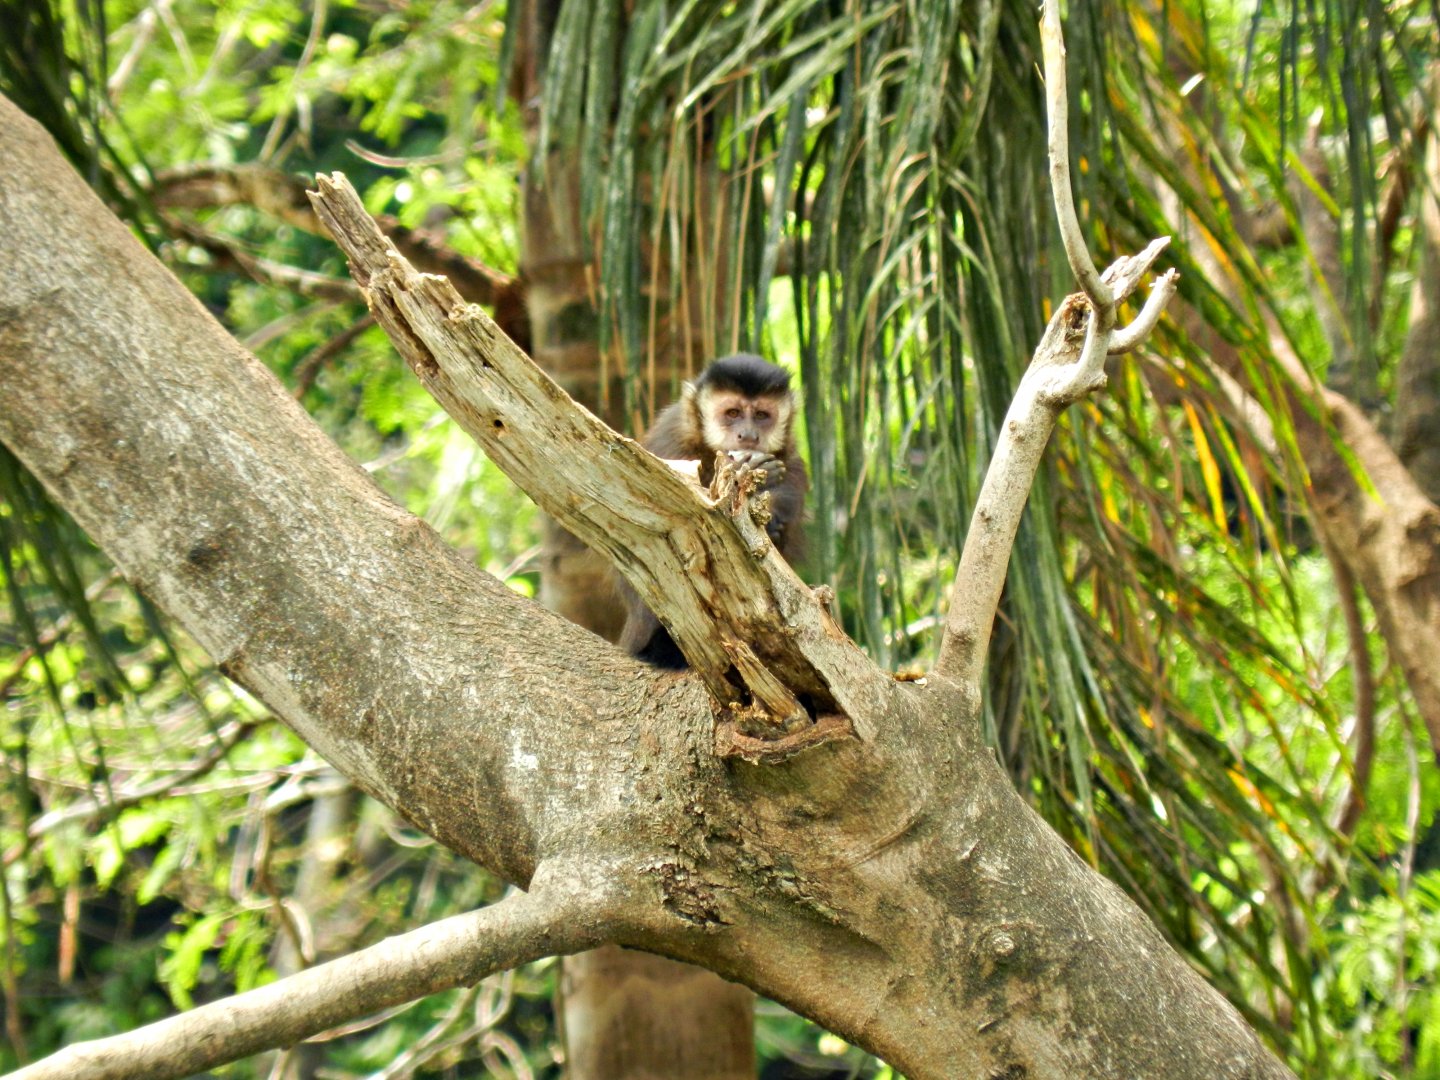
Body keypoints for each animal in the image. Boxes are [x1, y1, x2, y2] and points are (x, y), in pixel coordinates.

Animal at [618, 354, 808, 668]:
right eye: (732, 413)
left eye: (761, 415)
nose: (748, 435)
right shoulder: (672, 440)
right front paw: (752, 472)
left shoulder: (792, 461)